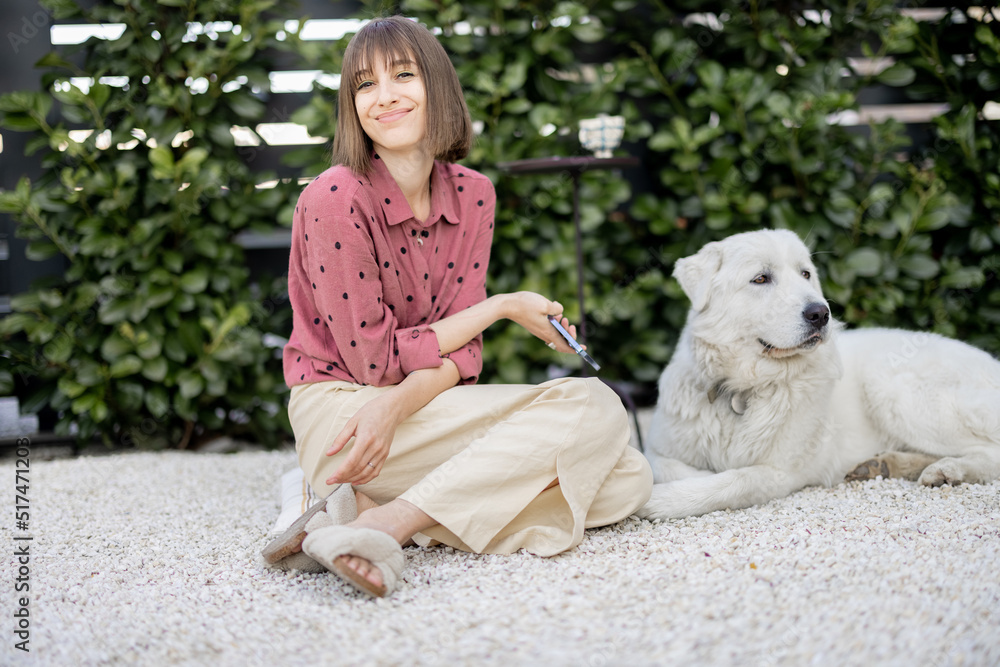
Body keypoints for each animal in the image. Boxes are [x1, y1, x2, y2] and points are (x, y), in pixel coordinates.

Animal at [640, 230, 1000, 520]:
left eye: (805, 274)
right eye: (761, 278)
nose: (820, 313)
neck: (743, 389)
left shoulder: (778, 472)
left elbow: (730, 481)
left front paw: (657, 501)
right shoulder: (659, 449)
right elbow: (667, 466)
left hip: (893, 390)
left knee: (988, 451)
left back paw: (947, 469)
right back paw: (885, 465)